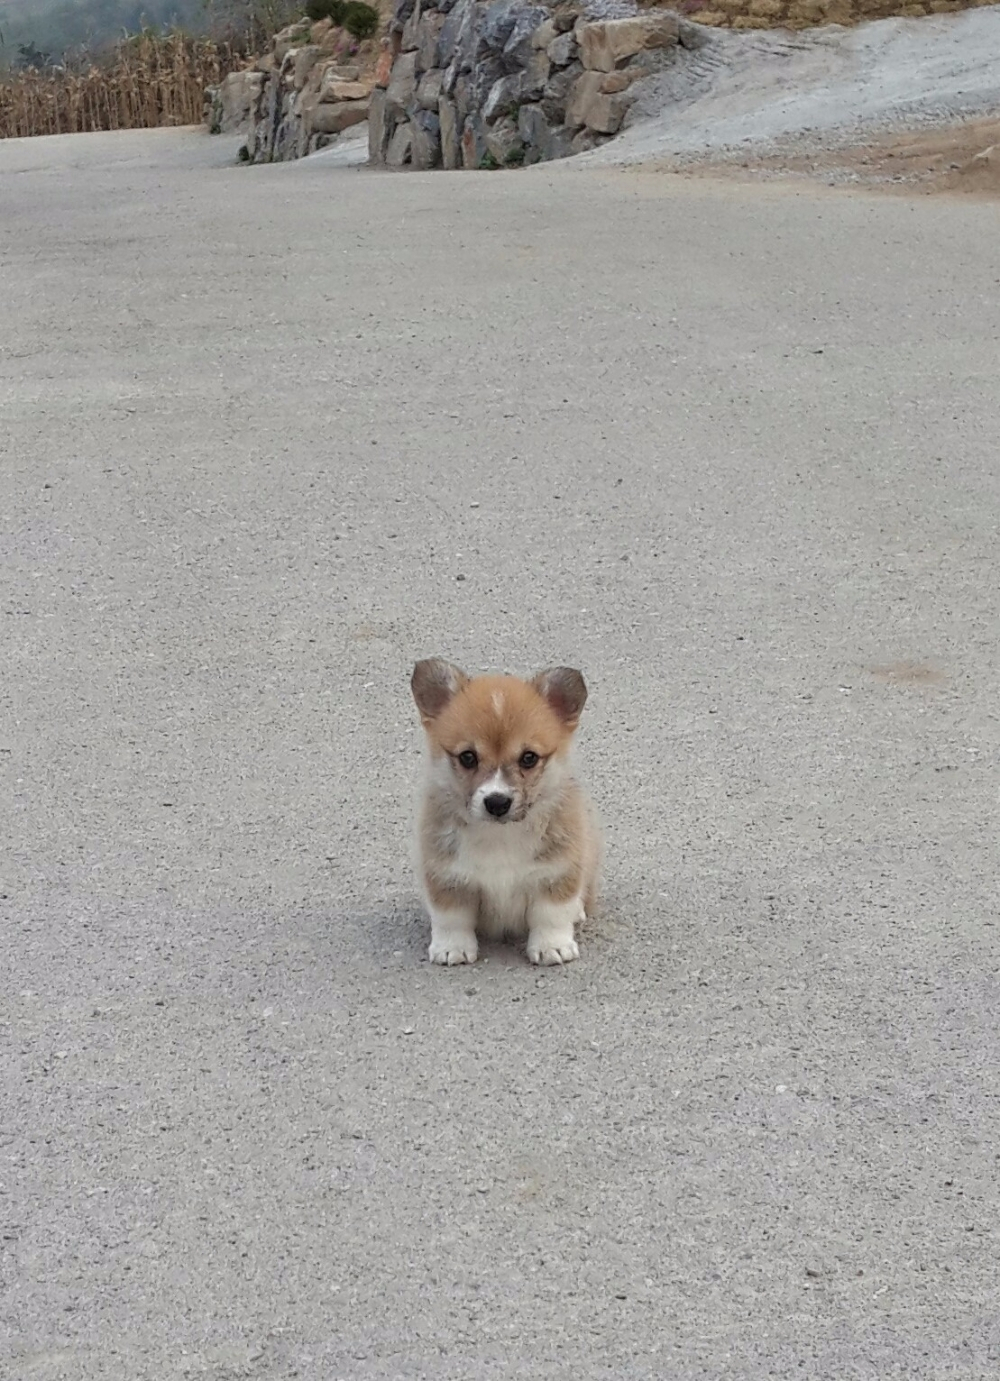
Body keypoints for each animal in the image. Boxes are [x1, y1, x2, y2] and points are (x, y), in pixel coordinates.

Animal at [408, 660, 596, 966]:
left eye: (529, 758)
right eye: (467, 757)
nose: (497, 802)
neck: (499, 834)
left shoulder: (557, 869)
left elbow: (551, 913)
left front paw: (552, 946)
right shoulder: (445, 873)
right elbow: (451, 917)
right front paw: (451, 948)